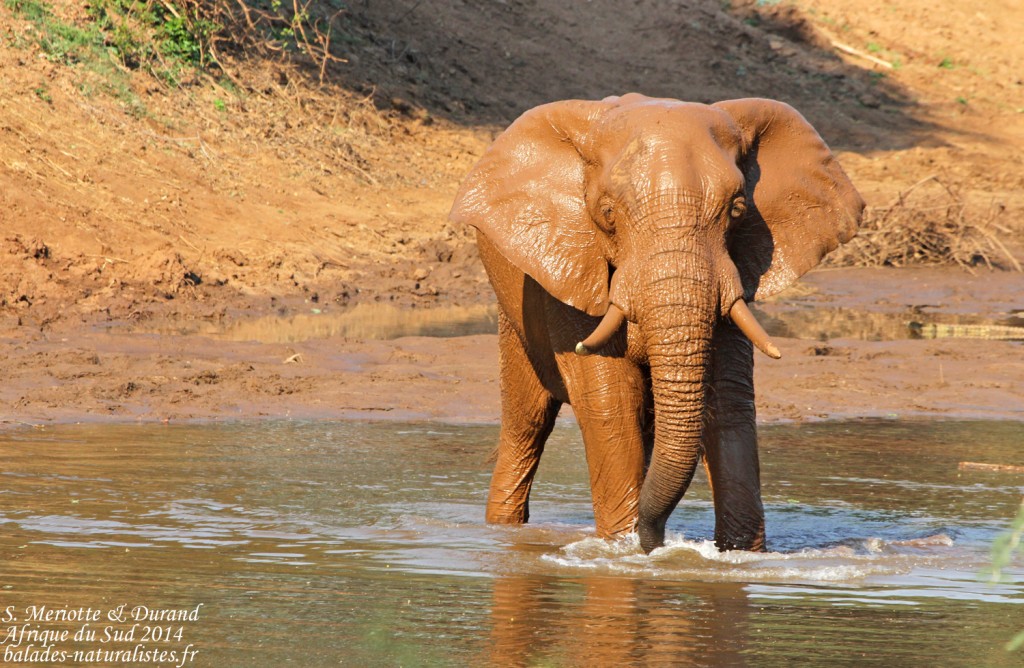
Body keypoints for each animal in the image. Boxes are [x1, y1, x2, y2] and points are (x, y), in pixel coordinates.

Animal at [449, 93, 863, 553]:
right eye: (607, 213)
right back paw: (504, 534)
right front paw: (624, 550)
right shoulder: (575, 269)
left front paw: (739, 555)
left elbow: (728, 401)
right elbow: (610, 403)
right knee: (527, 424)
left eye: (738, 210)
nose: (656, 540)